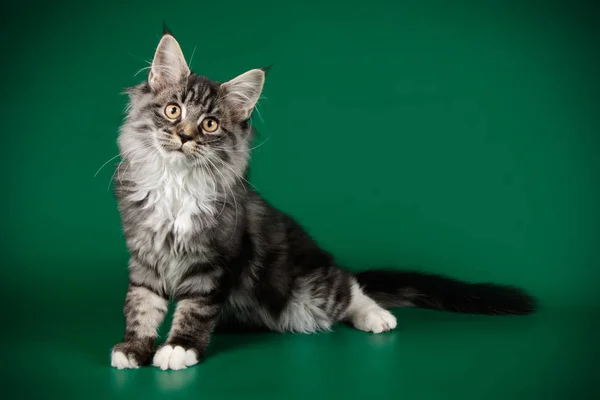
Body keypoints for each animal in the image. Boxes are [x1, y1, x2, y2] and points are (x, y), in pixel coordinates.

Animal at [110, 27, 536, 372]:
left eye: (210, 124)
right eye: (173, 110)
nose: (184, 136)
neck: (176, 184)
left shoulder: (213, 264)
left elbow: (194, 310)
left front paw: (178, 348)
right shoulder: (145, 256)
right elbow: (141, 305)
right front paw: (134, 348)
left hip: (308, 296)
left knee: (350, 286)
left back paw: (377, 317)